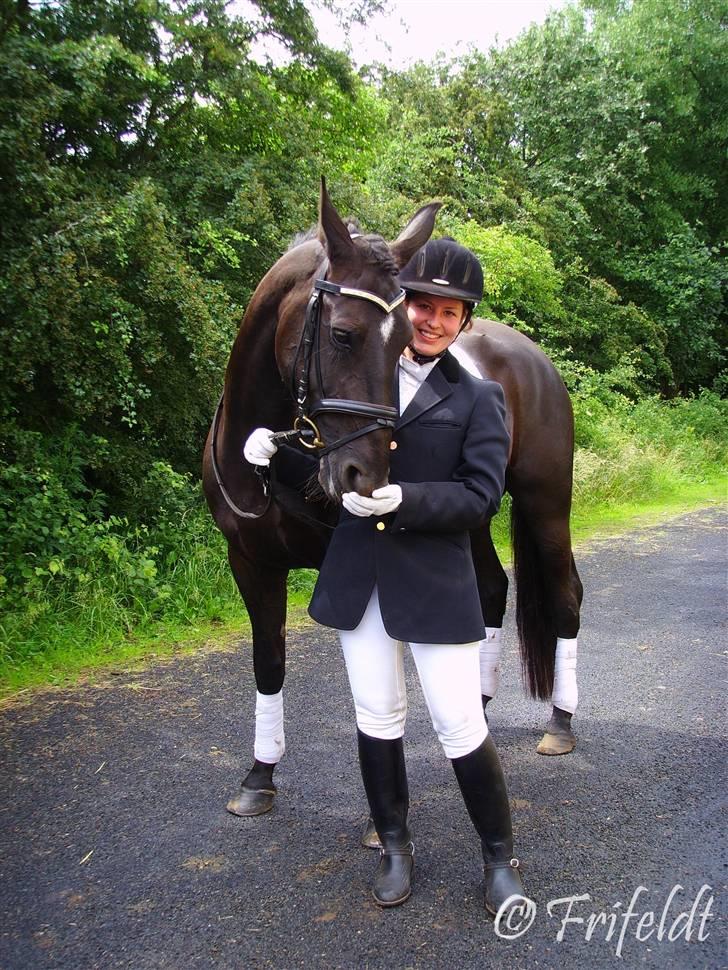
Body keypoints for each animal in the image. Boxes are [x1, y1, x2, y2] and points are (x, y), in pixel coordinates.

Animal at [202, 182, 584, 816]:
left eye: (405, 339)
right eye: (342, 335)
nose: (366, 476)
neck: (269, 462)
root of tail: (531, 354)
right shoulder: (250, 563)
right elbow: (269, 663)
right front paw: (260, 775)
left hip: (546, 503)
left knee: (565, 594)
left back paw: (560, 721)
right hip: (468, 520)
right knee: (490, 589)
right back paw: (477, 706)